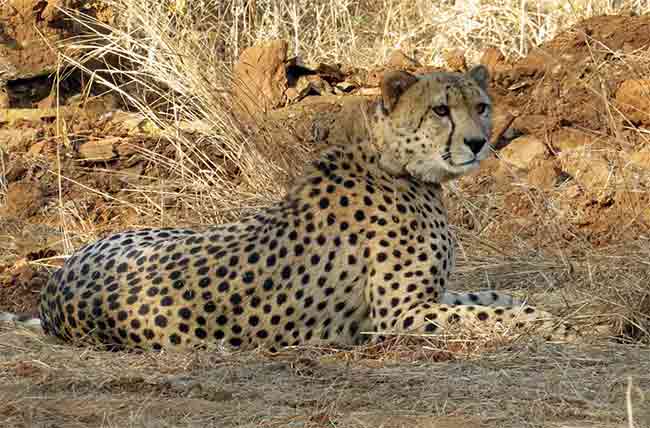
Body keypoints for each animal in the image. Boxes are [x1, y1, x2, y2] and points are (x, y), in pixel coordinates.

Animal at [6, 65, 578, 352]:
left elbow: (494, 295)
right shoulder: (398, 314)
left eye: (481, 106)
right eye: (440, 110)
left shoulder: (430, 296)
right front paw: (552, 326)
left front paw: (543, 310)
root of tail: (53, 289)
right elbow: (488, 314)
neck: (395, 164)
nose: (480, 143)